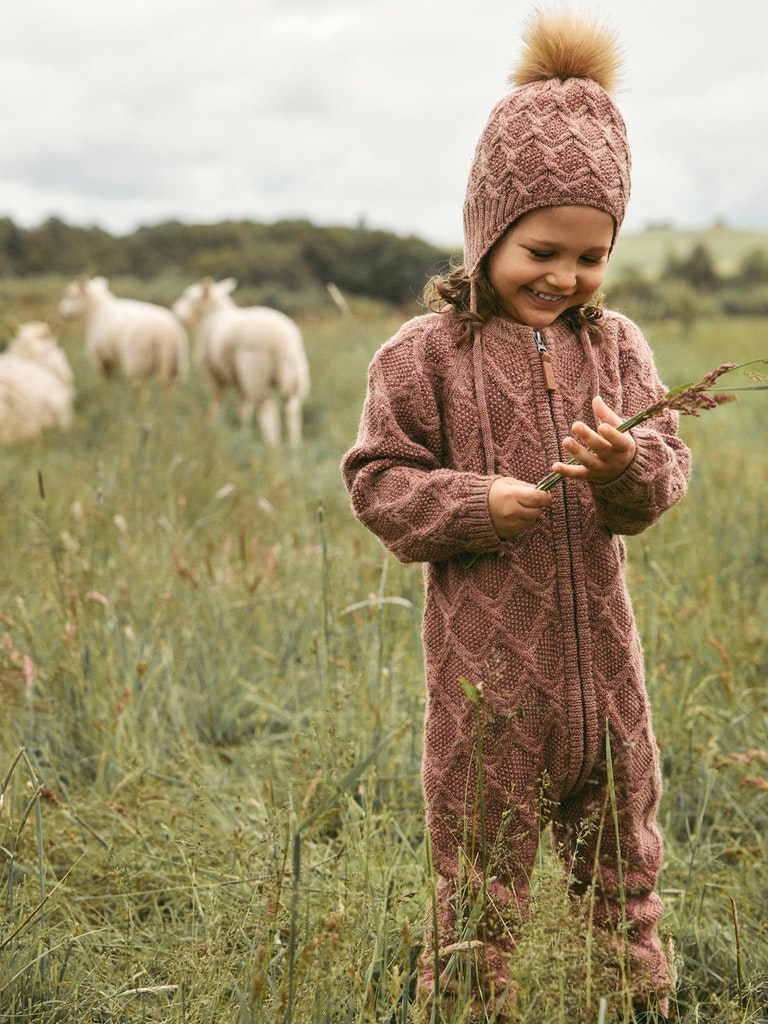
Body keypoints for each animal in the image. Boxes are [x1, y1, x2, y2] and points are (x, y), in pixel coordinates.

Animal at [58, 276, 188, 387]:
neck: (97, 310)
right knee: (168, 386)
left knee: (142, 389)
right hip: (174, 362)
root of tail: (166, 333)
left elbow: (106, 380)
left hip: (137, 360)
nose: (62, 313)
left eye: (71, 296)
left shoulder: (101, 357)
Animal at [172, 278, 309, 446]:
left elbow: (219, 399)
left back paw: (272, 444)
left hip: (255, 373)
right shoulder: (237, 377)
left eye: (191, 298)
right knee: (293, 409)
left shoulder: (214, 373)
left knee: (268, 411)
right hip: (291, 374)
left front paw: (215, 420)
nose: (175, 311)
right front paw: (243, 426)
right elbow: (243, 403)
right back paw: (295, 445)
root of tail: (283, 340)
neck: (212, 317)